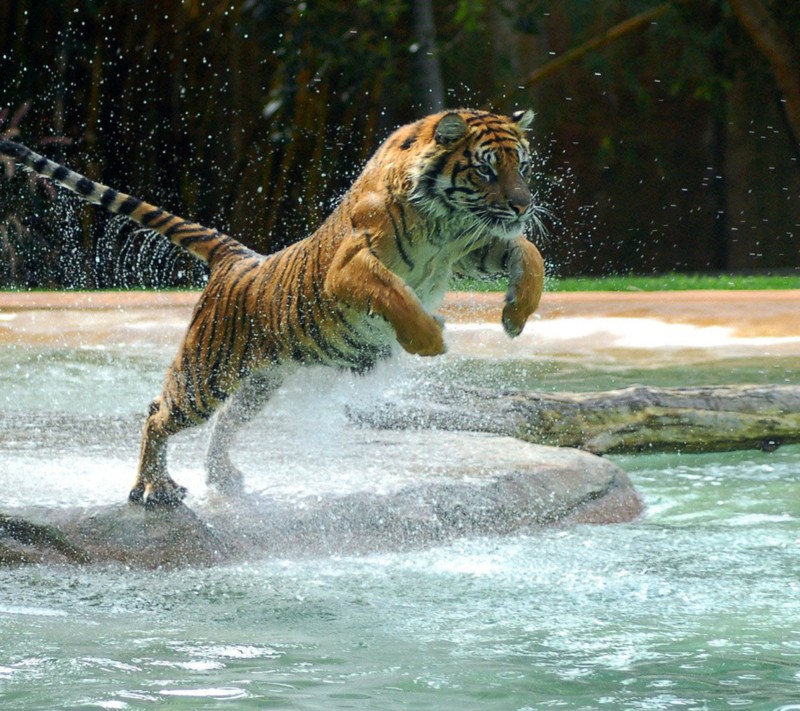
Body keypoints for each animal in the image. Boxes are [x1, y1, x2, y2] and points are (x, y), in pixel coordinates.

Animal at [0, 110, 548, 506]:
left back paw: (224, 479)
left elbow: (529, 253)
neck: (445, 221)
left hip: (259, 381)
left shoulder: (475, 244)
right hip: (206, 374)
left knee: (225, 423)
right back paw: (155, 489)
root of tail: (237, 258)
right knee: (158, 413)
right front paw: (430, 339)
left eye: (521, 165)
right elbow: (395, 294)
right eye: (486, 168)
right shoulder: (350, 266)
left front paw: (515, 315)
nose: (523, 205)